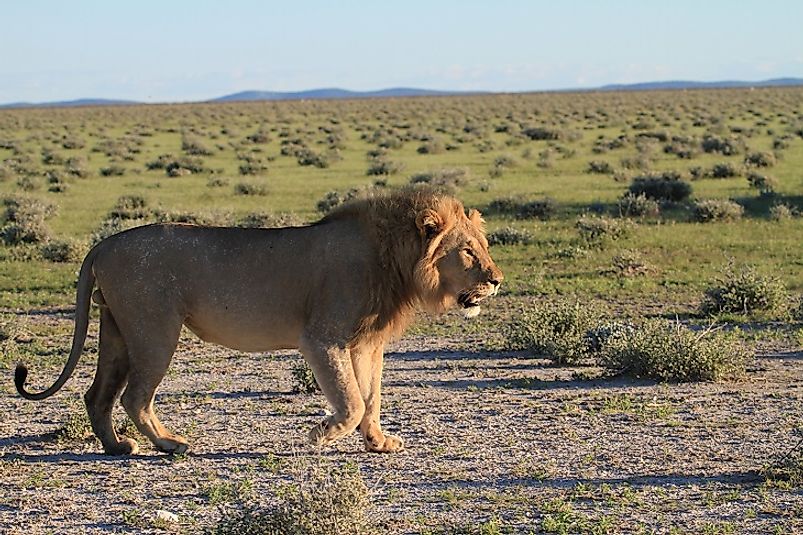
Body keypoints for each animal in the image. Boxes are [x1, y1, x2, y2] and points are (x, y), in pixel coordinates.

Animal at [14, 188, 502, 456]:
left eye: (484, 246)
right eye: (468, 252)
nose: (497, 280)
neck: (394, 259)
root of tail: (104, 243)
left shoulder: (366, 342)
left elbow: (371, 397)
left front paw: (379, 442)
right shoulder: (322, 338)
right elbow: (351, 401)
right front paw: (321, 434)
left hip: (116, 328)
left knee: (97, 395)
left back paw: (117, 447)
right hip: (155, 329)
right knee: (135, 396)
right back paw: (170, 444)